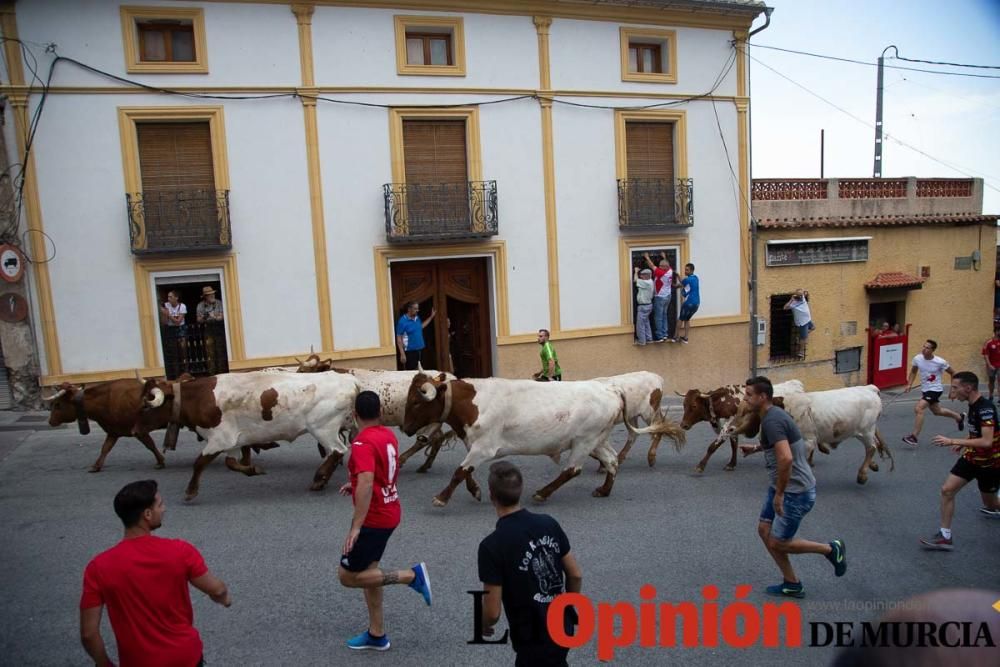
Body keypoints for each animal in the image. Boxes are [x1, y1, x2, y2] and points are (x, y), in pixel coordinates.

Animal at [133, 370, 360, 500]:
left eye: (145, 406)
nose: (134, 430)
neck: (200, 396)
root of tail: (348, 379)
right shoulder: (232, 441)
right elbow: (231, 463)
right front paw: (253, 469)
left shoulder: (219, 438)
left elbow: (199, 463)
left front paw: (191, 491)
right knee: (335, 452)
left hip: (323, 428)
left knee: (337, 450)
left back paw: (319, 478)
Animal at [398, 374, 688, 508]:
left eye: (416, 401)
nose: (405, 427)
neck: (474, 401)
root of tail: (610, 387)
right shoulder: (474, 446)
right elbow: (466, 472)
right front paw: (476, 490)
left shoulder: (484, 447)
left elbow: (460, 471)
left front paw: (441, 497)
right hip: (597, 440)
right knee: (612, 460)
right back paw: (604, 490)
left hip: (584, 441)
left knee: (572, 469)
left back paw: (542, 493)